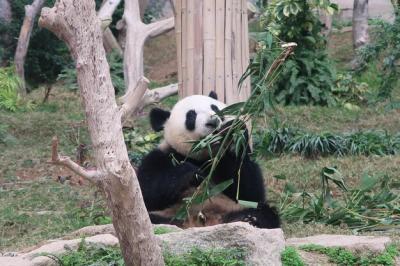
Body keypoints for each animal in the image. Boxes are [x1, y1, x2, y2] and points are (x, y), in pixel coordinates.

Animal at [136, 91, 280, 229]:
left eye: (215, 108)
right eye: (191, 116)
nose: (213, 121)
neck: (205, 157)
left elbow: (250, 192)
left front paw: (233, 135)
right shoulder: (163, 156)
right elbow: (148, 192)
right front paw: (193, 173)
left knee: (264, 212)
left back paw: (249, 219)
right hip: (169, 215)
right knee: (150, 220)